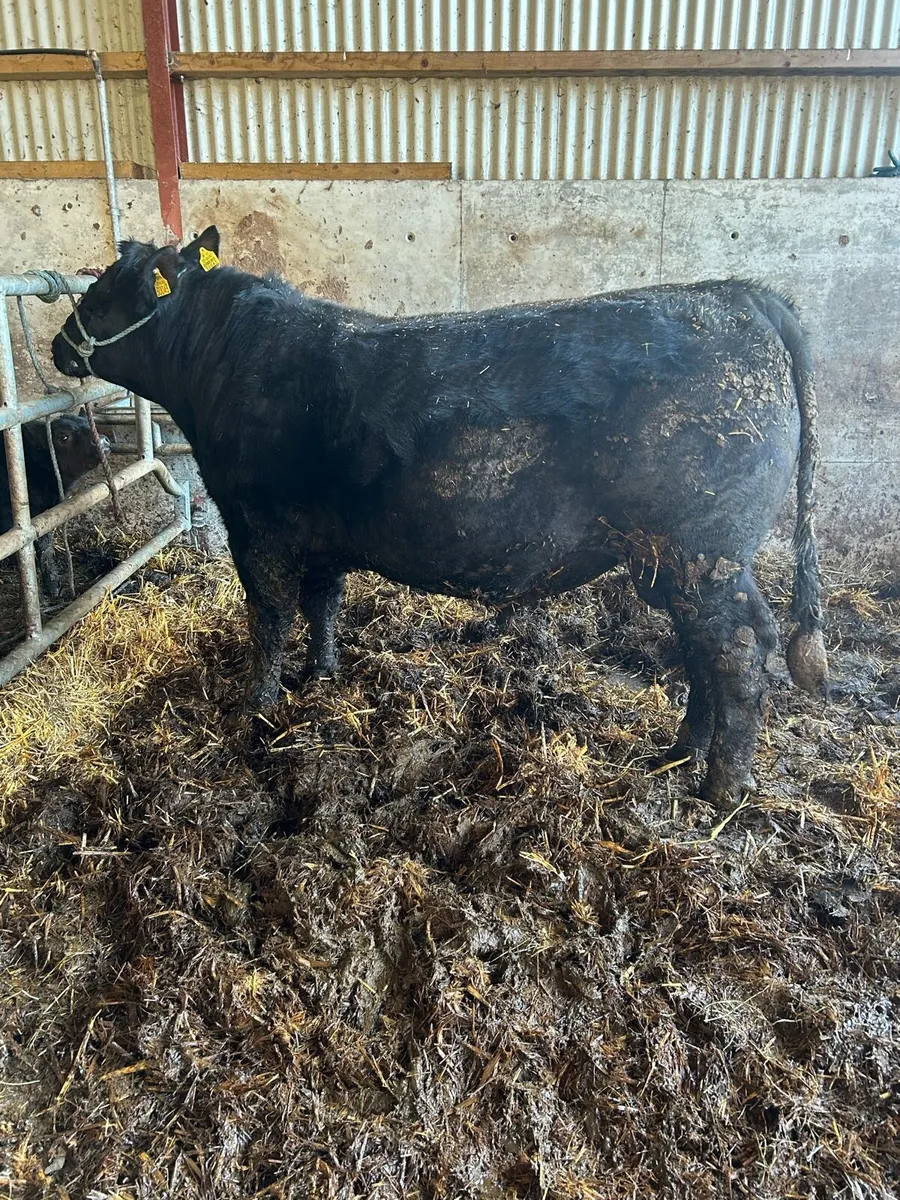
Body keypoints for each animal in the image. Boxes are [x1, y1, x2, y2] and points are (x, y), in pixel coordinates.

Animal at [1, 414, 108, 600]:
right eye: (63, 437)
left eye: (90, 423)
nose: (101, 440)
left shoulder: (45, 514)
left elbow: (45, 545)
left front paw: (54, 588)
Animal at [51, 226, 827, 807]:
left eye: (105, 290)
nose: (61, 343)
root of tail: (736, 294)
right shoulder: (319, 535)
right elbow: (323, 602)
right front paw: (320, 677)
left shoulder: (256, 522)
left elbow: (269, 616)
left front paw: (256, 708)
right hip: (670, 560)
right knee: (704, 650)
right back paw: (679, 752)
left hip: (700, 549)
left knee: (738, 650)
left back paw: (720, 790)